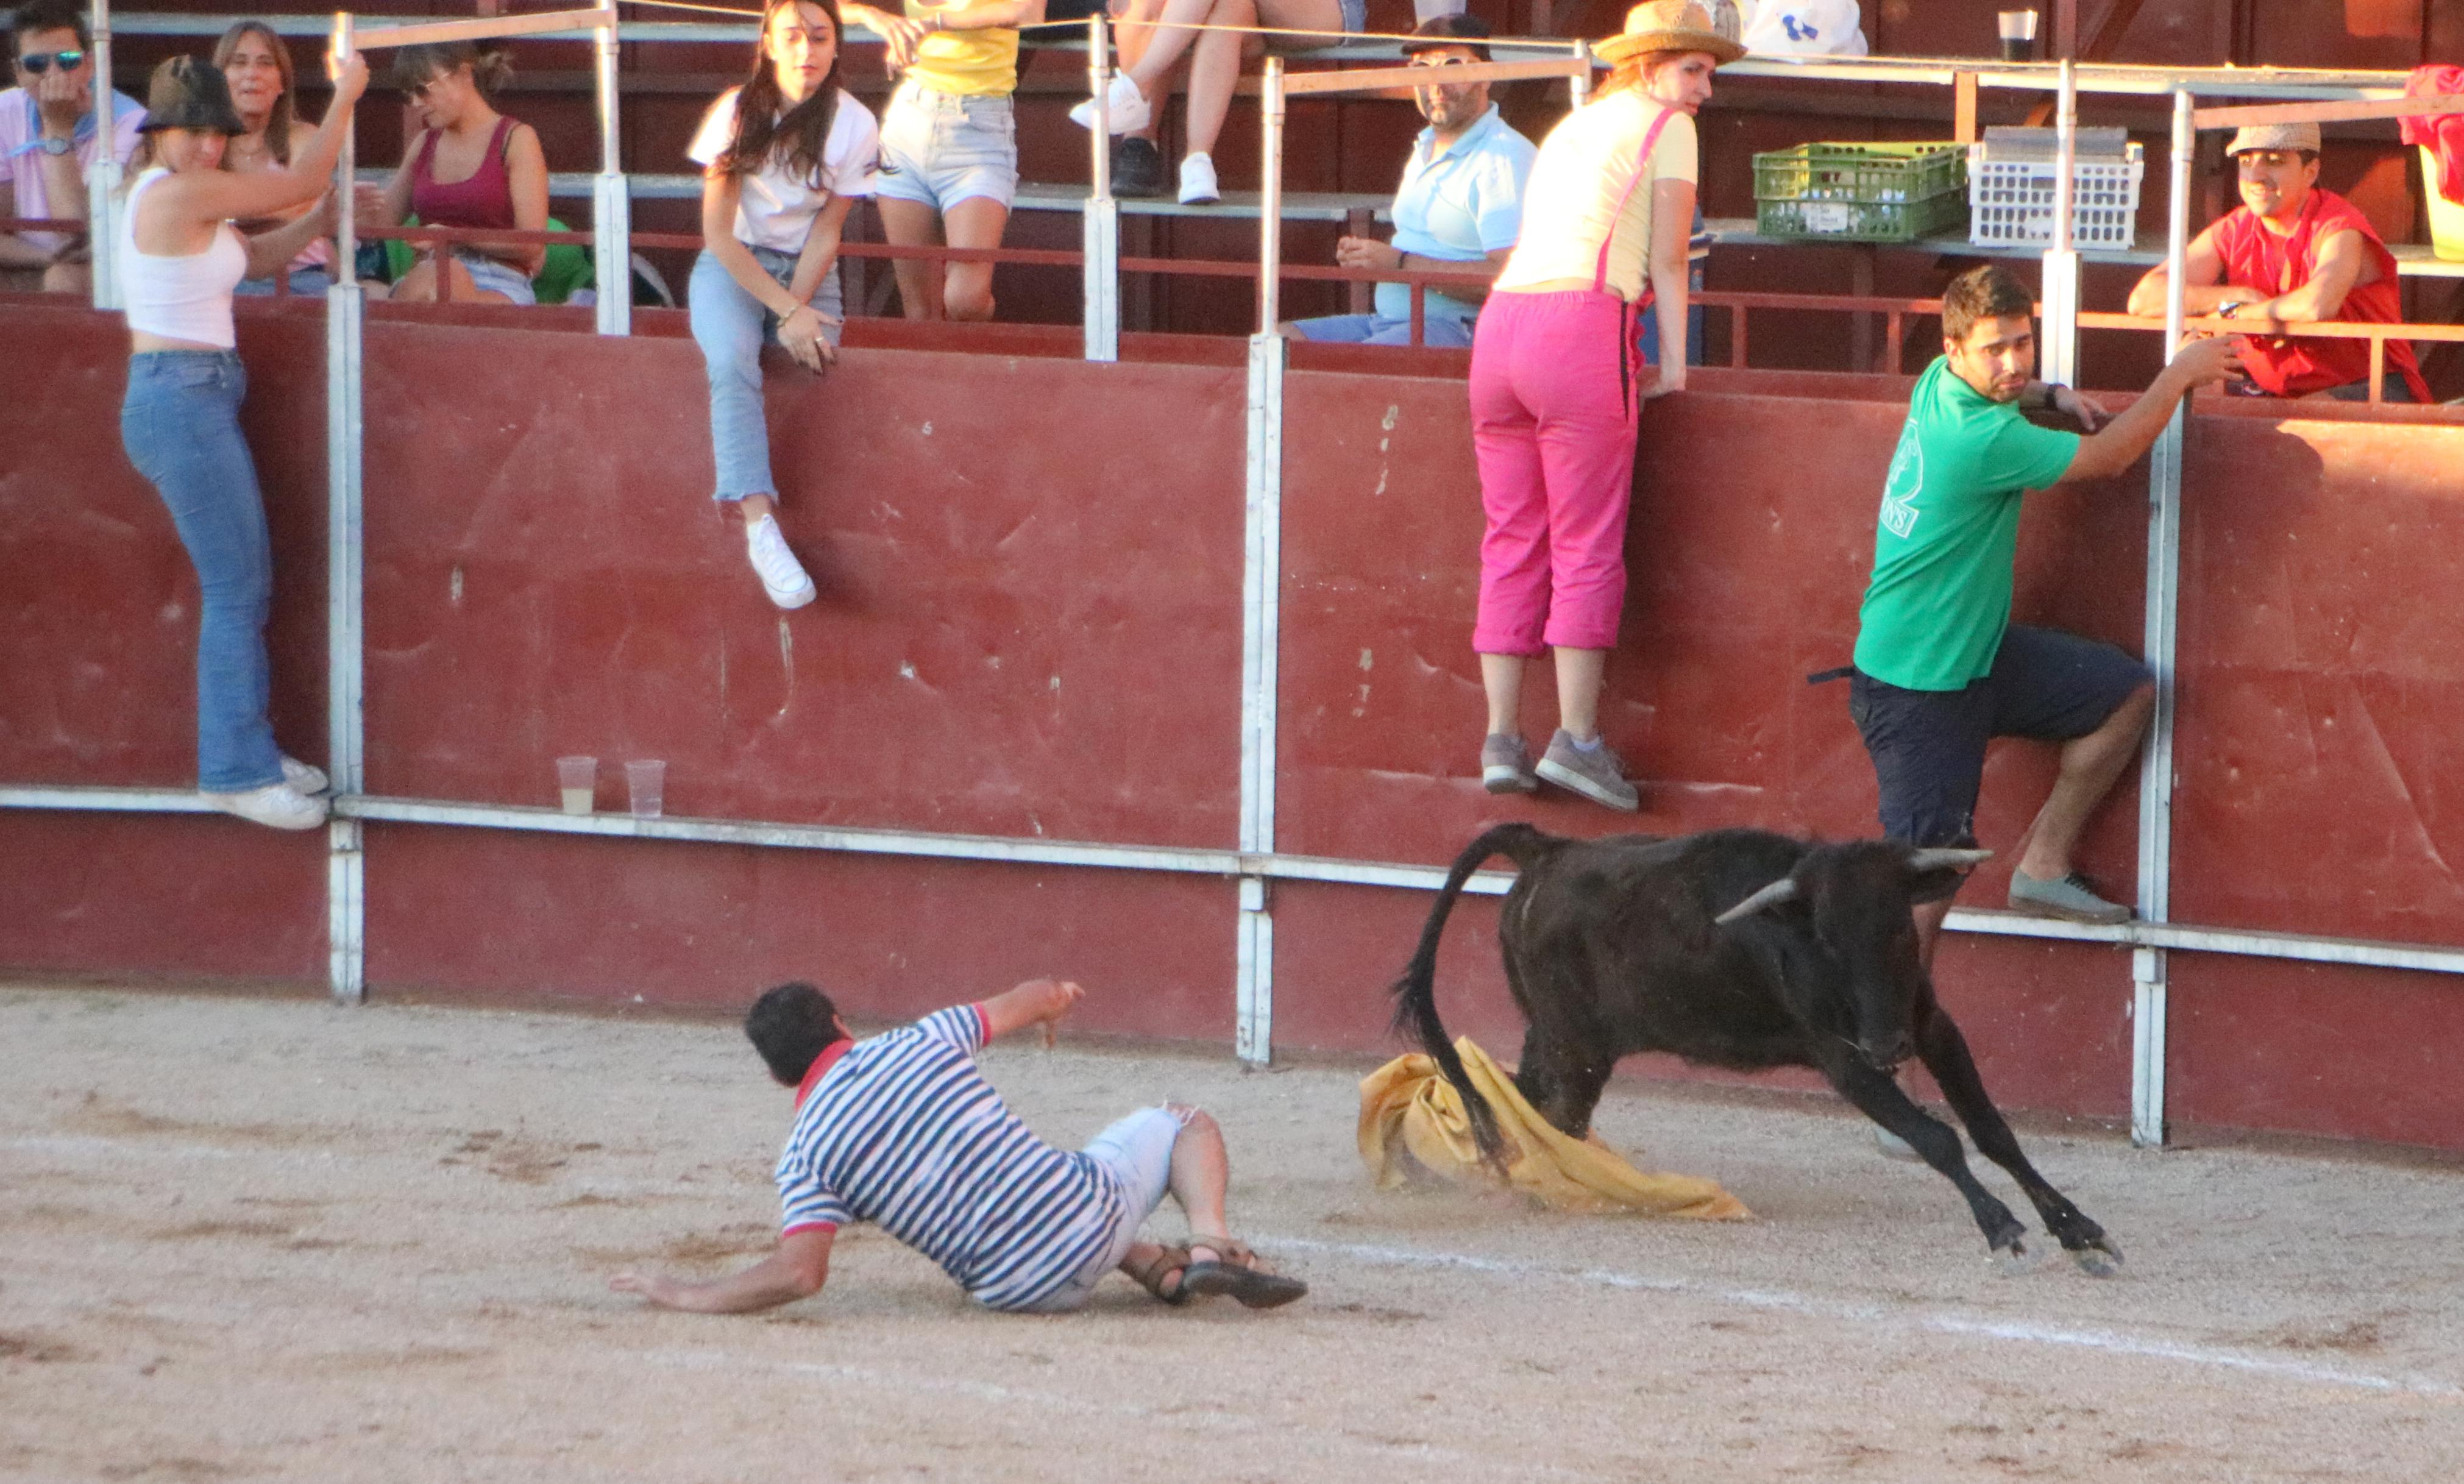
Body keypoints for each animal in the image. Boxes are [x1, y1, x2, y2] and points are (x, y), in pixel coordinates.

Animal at [1390, 818, 2118, 1272]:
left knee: (1520, 1102)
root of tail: (1549, 848)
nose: (1886, 1043)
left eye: (1897, 929)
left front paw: (2076, 1228)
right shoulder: (1842, 1058)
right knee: (1542, 1113)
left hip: (1559, 1039)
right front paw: (2002, 1228)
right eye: (1824, 938)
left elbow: (1993, 1130)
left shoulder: (1933, 1028)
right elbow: (1936, 1137)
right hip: (1575, 1045)